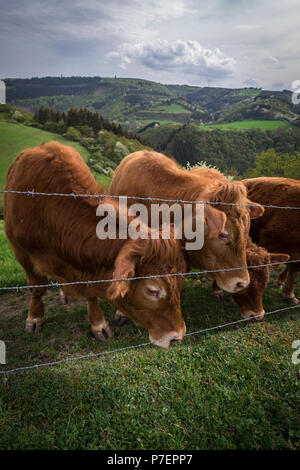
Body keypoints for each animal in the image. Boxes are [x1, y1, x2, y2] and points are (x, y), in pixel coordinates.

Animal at [3, 141, 188, 346]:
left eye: (180, 281)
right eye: (152, 290)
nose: (176, 336)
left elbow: (90, 294)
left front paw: (98, 325)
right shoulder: (22, 253)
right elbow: (37, 288)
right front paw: (35, 319)